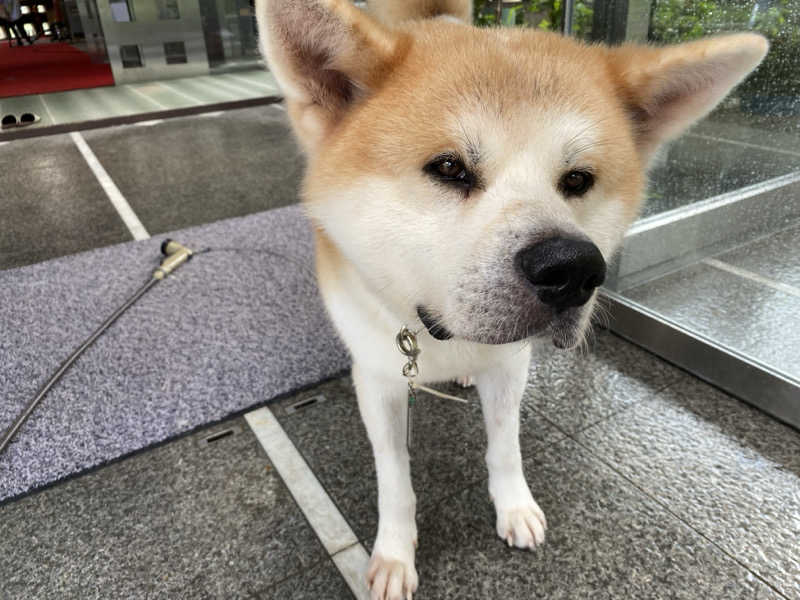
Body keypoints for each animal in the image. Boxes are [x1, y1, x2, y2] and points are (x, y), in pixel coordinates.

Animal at [256, 2, 768, 596]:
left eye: (578, 179)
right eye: (449, 167)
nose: (573, 269)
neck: (438, 330)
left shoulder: (509, 365)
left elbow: (505, 444)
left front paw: (514, 506)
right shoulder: (380, 379)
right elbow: (394, 474)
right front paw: (394, 551)